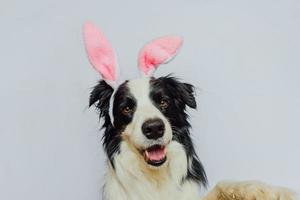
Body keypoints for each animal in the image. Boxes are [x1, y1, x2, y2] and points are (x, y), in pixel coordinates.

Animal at [82, 22, 300, 200]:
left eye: (163, 102)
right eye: (127, 108)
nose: (154, 128)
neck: (156, 178)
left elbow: (224, 184)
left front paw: (264, 191)